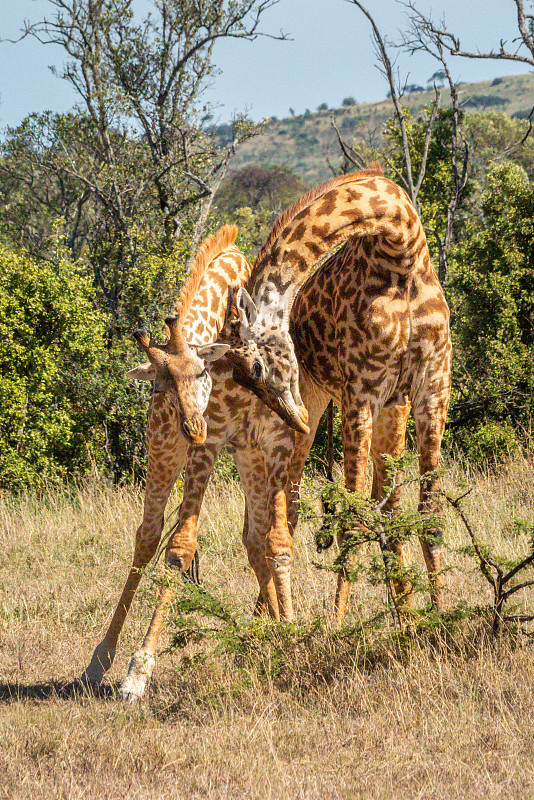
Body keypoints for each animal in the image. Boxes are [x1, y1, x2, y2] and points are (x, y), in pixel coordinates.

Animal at [81, 222, 251, 684]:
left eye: (202, 371)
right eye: (158, 387)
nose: (193, 429)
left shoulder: (204, 452)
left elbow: (179, 547)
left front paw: (138, 671)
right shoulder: (161, 456)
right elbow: (146, 538)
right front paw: (99, 659)